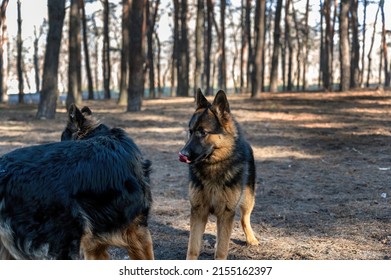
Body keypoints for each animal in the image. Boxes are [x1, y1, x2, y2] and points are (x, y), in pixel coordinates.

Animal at [180, 89, 260, 260]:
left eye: (203, 132)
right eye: (190, 132)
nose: (182, 154)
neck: (213, 166)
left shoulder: (226, 212)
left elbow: (222, 250)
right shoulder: (198, 211)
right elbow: (193, 247)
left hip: (248, 199)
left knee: (244, 219)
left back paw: (251, 239)